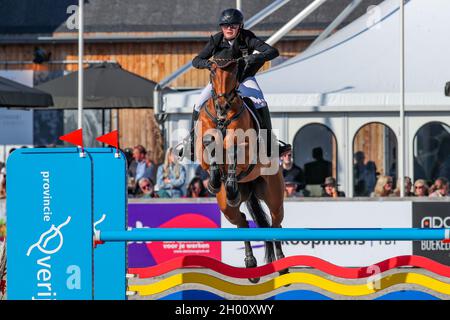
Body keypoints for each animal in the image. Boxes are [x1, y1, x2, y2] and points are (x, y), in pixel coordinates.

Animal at [192, 58, 286, 284]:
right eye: (213, 72)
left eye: (235, 72)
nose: (223, 106)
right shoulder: (203, 149)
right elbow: (209, 144)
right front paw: (214, 181)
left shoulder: (246, 150)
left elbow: (235, 149)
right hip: (226, 207)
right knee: (242, 220)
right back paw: (251, 264)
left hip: (274, 195)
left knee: (275, 223)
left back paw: (281, 264)